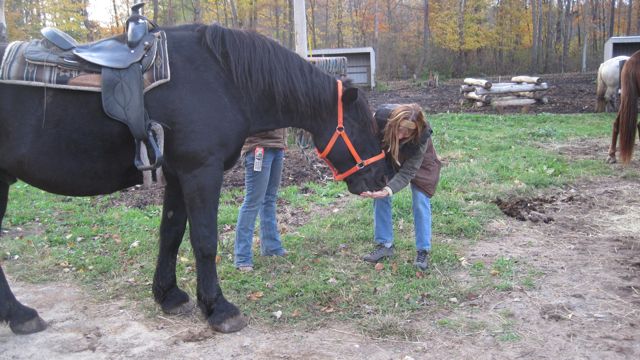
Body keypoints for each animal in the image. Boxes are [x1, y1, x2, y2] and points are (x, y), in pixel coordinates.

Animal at [0, 24, 384, 334]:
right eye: (361, 124)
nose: (381, 178)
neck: (224, 78)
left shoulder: (176, 175)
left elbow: (170, 234)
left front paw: (168, 295)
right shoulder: (201, 172)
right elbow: (205, 240)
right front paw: (218, 308)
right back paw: (20, 315)